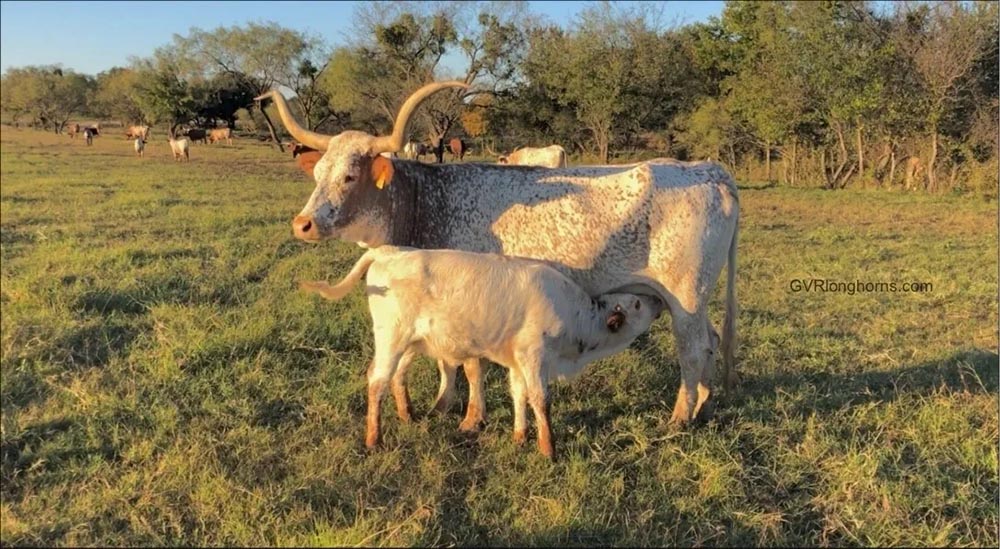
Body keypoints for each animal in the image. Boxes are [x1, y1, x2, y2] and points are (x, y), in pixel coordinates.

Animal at [300, 246, 660, 456]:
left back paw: (407, 415)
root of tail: (387, 251)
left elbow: (519, 395)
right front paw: (548, 448)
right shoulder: (533, 355)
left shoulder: (517, 361)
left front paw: (520, 436)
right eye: (637, 303)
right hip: (392, 338)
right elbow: (541, 400)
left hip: (409, 343)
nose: (656, 300)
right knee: (377, 380)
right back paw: (374, 439)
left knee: (396, 377)